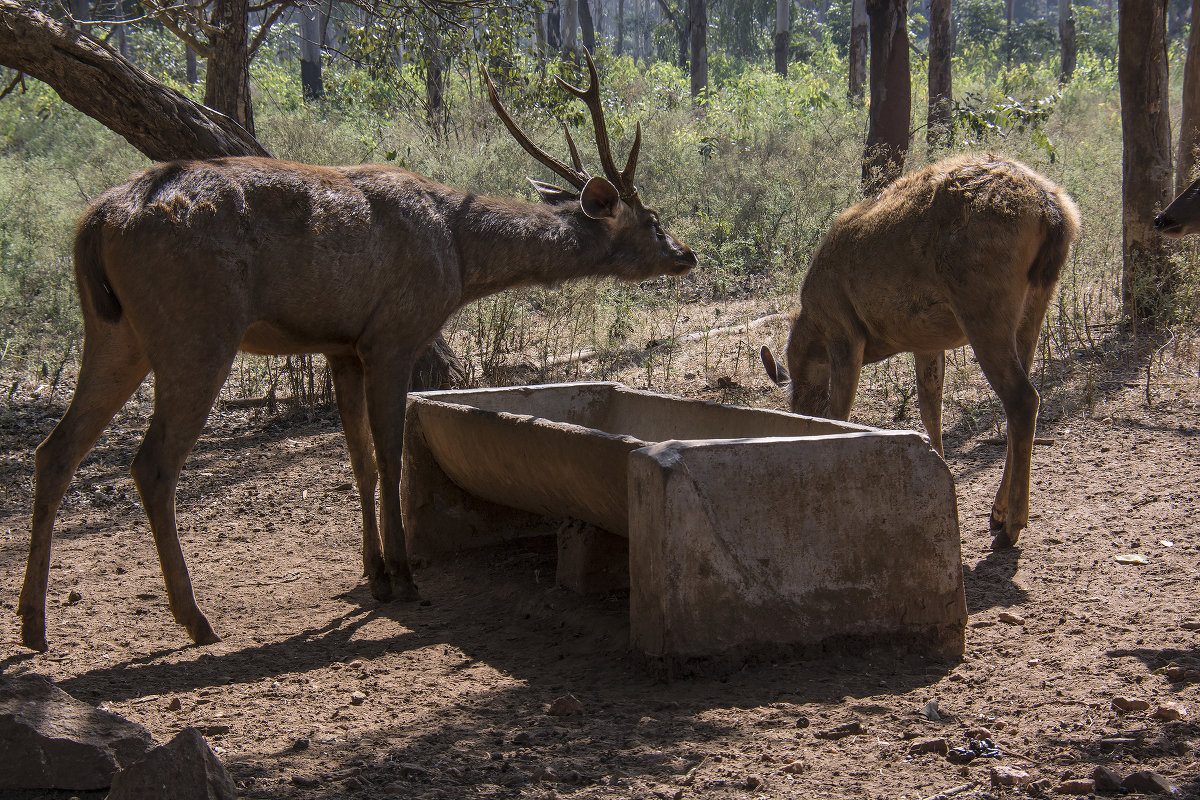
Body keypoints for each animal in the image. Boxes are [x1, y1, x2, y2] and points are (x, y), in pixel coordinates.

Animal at [16, 51, 696, 652]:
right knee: (152, 462)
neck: (460, 257)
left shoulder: (341, 347)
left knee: (55, 449)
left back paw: (34, 625)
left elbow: (360, 459)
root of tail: (97, 220)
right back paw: (195, 619)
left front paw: (373, 575)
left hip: (115, 332)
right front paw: (404, 574)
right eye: (653, 219)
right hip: (196, 328)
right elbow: (390, 451)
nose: (687, 254)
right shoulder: (394, 334)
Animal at [763, 151, 1084, 551]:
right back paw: (998, 511)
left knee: (1023, 398)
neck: (812, 329)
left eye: (802, 410)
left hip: (982, 304)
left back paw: (1011, 527)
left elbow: (841, 412)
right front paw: (938, 470)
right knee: (1022, 397)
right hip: (1035, 303)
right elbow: (931, 409)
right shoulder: (927, 343)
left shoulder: (845, 334)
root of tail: (1054, 213)